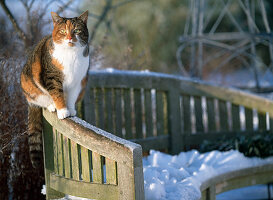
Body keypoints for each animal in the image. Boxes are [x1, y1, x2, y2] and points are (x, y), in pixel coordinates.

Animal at [20, 10, 88, 167]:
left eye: (76, 30)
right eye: (63, 31)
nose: (69, 38)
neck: (71, 56)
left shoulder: (77, 81)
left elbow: (71, 97)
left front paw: (71, 110)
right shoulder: (52, 78)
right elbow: (57, 94)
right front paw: (63, 111)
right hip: (29, 85)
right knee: (42, 99)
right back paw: (51, 105)